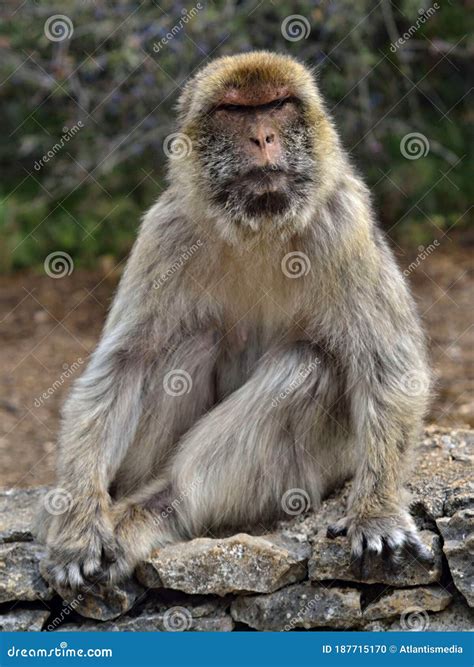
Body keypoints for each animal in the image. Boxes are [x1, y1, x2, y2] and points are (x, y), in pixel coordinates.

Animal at [38, 51, 432, 589]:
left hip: (322, 466)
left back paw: (168, 506)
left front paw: (378, 513)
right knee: (186, 345)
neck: (258, 228)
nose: (262, 137)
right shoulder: (166, 231)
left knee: (306, 365)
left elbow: (390, 368)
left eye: (277, 105)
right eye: (234, 111)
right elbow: (122, 366)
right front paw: (77, 522)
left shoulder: (342, 221)